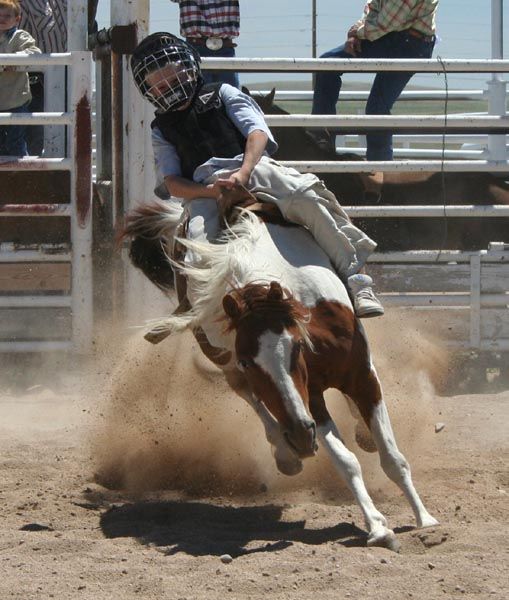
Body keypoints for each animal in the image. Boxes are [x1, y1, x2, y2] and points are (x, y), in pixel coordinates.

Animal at [122, 203, 436, 552]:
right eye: (247, 360)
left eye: (297, 346)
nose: (299, 437)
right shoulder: (310, 399)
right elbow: (346, 461)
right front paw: (378, 527)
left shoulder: (362, 376)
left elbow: (393, 457)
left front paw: (424, 519)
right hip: (224, 363)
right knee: (250, 397)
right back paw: (287, 455)